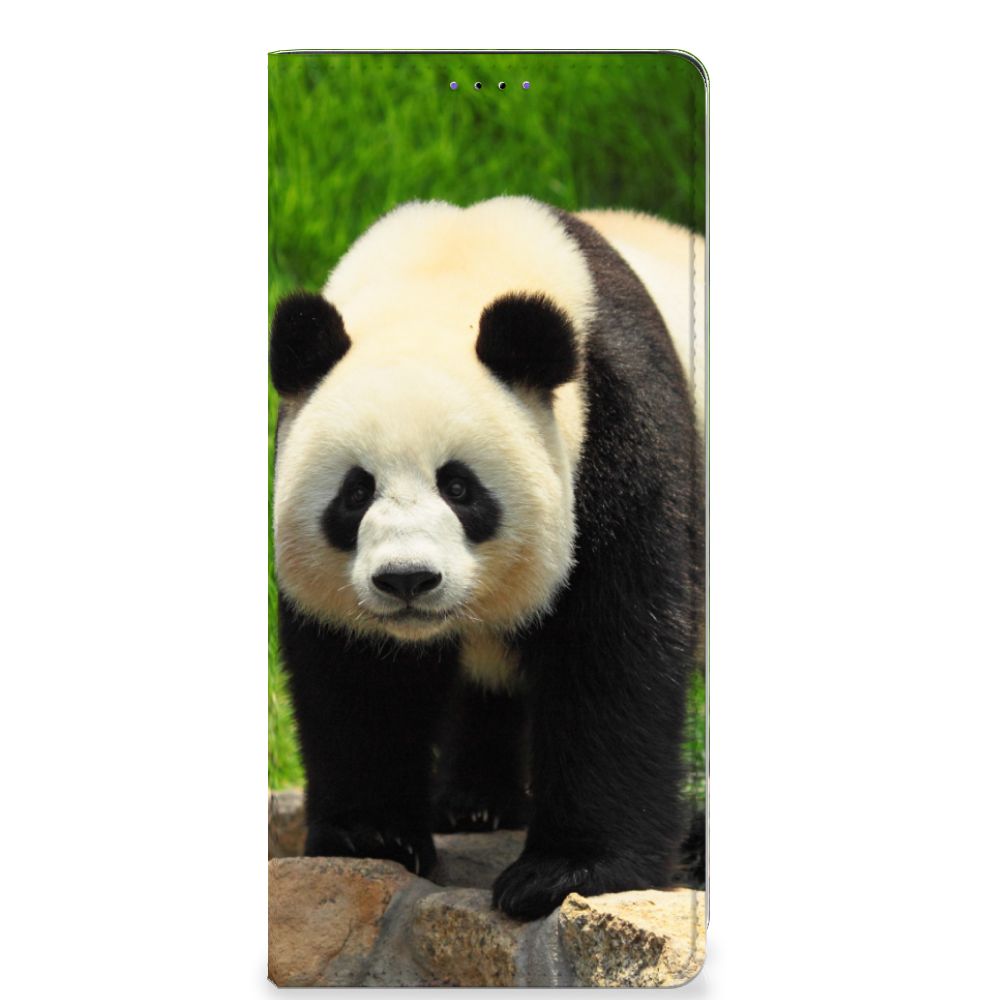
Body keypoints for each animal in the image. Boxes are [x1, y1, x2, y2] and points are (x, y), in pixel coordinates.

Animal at [270, 195, 705, 920]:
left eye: (460, 487)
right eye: (355, 492)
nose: (407, 580)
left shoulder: (620, 432)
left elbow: (613, 650)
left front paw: (566, 872)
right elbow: (358, 675)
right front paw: (372, 835)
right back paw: (474, 804)